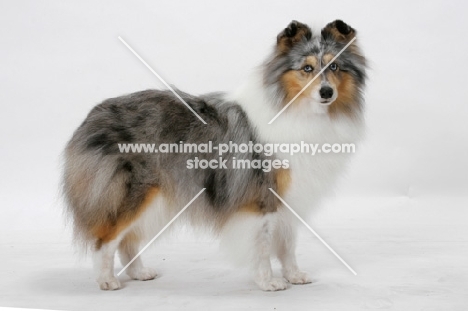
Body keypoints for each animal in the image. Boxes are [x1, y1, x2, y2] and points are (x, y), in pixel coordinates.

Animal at [62, 20, 368, 292]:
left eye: (335, 66)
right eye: (307, 68)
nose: (326, 92)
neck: (298, 110)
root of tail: (92, 114)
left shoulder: (289, 197)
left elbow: (288, 244)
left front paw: (294, 276)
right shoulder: (260, 198)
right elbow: (263, 246)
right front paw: (269, 283)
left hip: (158, 198)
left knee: (129, 240)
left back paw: (139, 273)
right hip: (130, 193)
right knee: (106, 239)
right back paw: (107, 281)